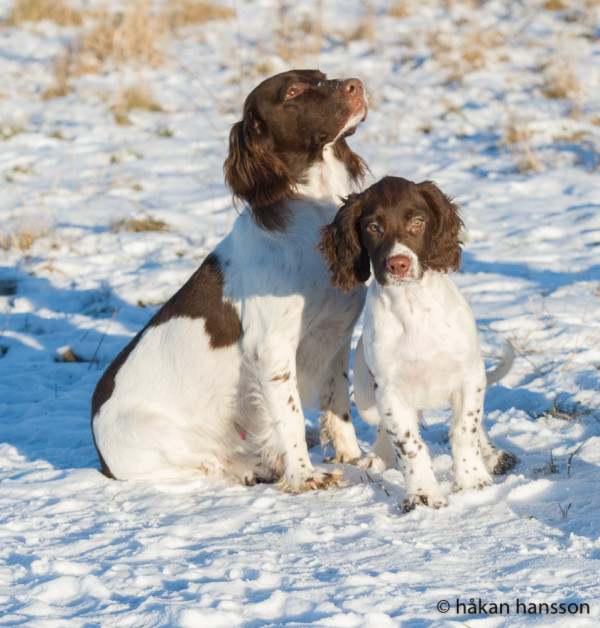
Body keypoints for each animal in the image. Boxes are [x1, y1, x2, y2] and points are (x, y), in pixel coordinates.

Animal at [91, 68, 368, 490]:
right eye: (292, 91)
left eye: (321, 76)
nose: (357, 84)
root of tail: (100, 451)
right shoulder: (270, 348)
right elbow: (288, 417)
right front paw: (305, 476)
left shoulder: (335, 337)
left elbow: (338, 405)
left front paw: (356, 458)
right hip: (157, 438)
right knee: (207, 462)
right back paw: (253, 467)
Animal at [322, 177, 516, 510]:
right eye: (373, 227)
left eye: (417, 221)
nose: (398, 264)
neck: (412, 305)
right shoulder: (390, 390)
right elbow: (409, 444)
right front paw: (423, 494)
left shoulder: (469, 376)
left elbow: (464, 429)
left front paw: (473, 481)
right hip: (367, 397)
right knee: (383, 426)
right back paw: (378, 457)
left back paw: (491, 455)